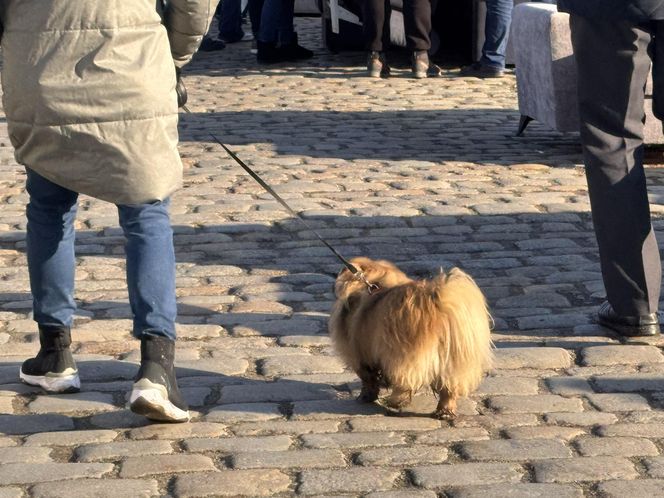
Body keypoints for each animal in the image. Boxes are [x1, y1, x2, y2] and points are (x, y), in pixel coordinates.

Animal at [328, 258, 492, 418]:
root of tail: (437, 306)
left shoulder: (359, 356)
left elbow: (368, 380)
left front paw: (365, 397)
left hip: (402, 356)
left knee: (405, 382)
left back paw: (395, 402)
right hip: (453, 361)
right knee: (449, 389)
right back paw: (445, 411)